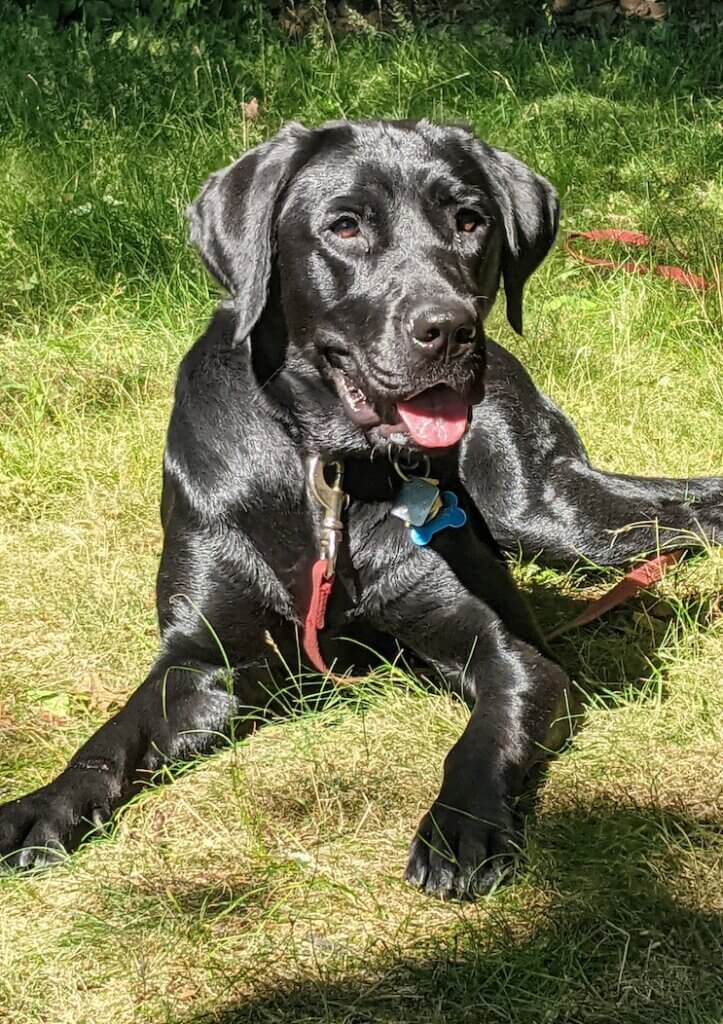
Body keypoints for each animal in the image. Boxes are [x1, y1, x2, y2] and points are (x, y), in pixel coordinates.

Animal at [1, 123, 720, 901]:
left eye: (470, 220)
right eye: (344, 226)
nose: (450, 329)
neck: (327, 469)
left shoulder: (510, 653)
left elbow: (485, 734)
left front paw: (458, 825)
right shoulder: (202, 662)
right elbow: (112, 738)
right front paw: (41, 807)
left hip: (544, 510)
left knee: (680, 512)